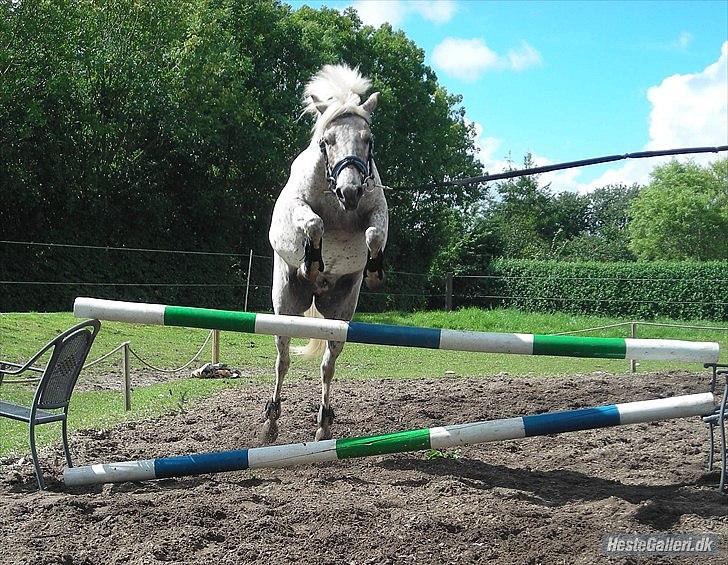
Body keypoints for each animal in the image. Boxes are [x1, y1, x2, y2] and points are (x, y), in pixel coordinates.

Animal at [262, 66, 386, 442]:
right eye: (326, 141)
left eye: (367, 139)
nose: (351, 191)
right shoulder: (299, 209)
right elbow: (314, 223)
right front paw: (314, 261)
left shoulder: (376, 213)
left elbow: (374, 233)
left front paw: (374, 269)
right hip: (285, 306)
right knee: (283, 359)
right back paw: (271, 422)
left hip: (340, 314)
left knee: (328, 365)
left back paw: (323, 423)